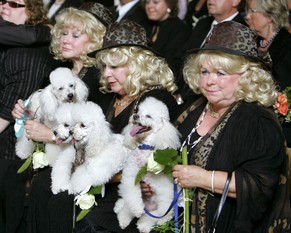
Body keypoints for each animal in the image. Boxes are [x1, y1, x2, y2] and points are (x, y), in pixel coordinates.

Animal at [114, 97, 181, 233]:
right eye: (138, 111)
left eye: (148, 116)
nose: (135, 116)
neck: (145, 146)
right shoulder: (131, 175)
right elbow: (132, 195)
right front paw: (137, 209)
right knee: (128, 210)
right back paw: (126, 220)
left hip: (162, 205)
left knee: (159, 215)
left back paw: (153, 223)